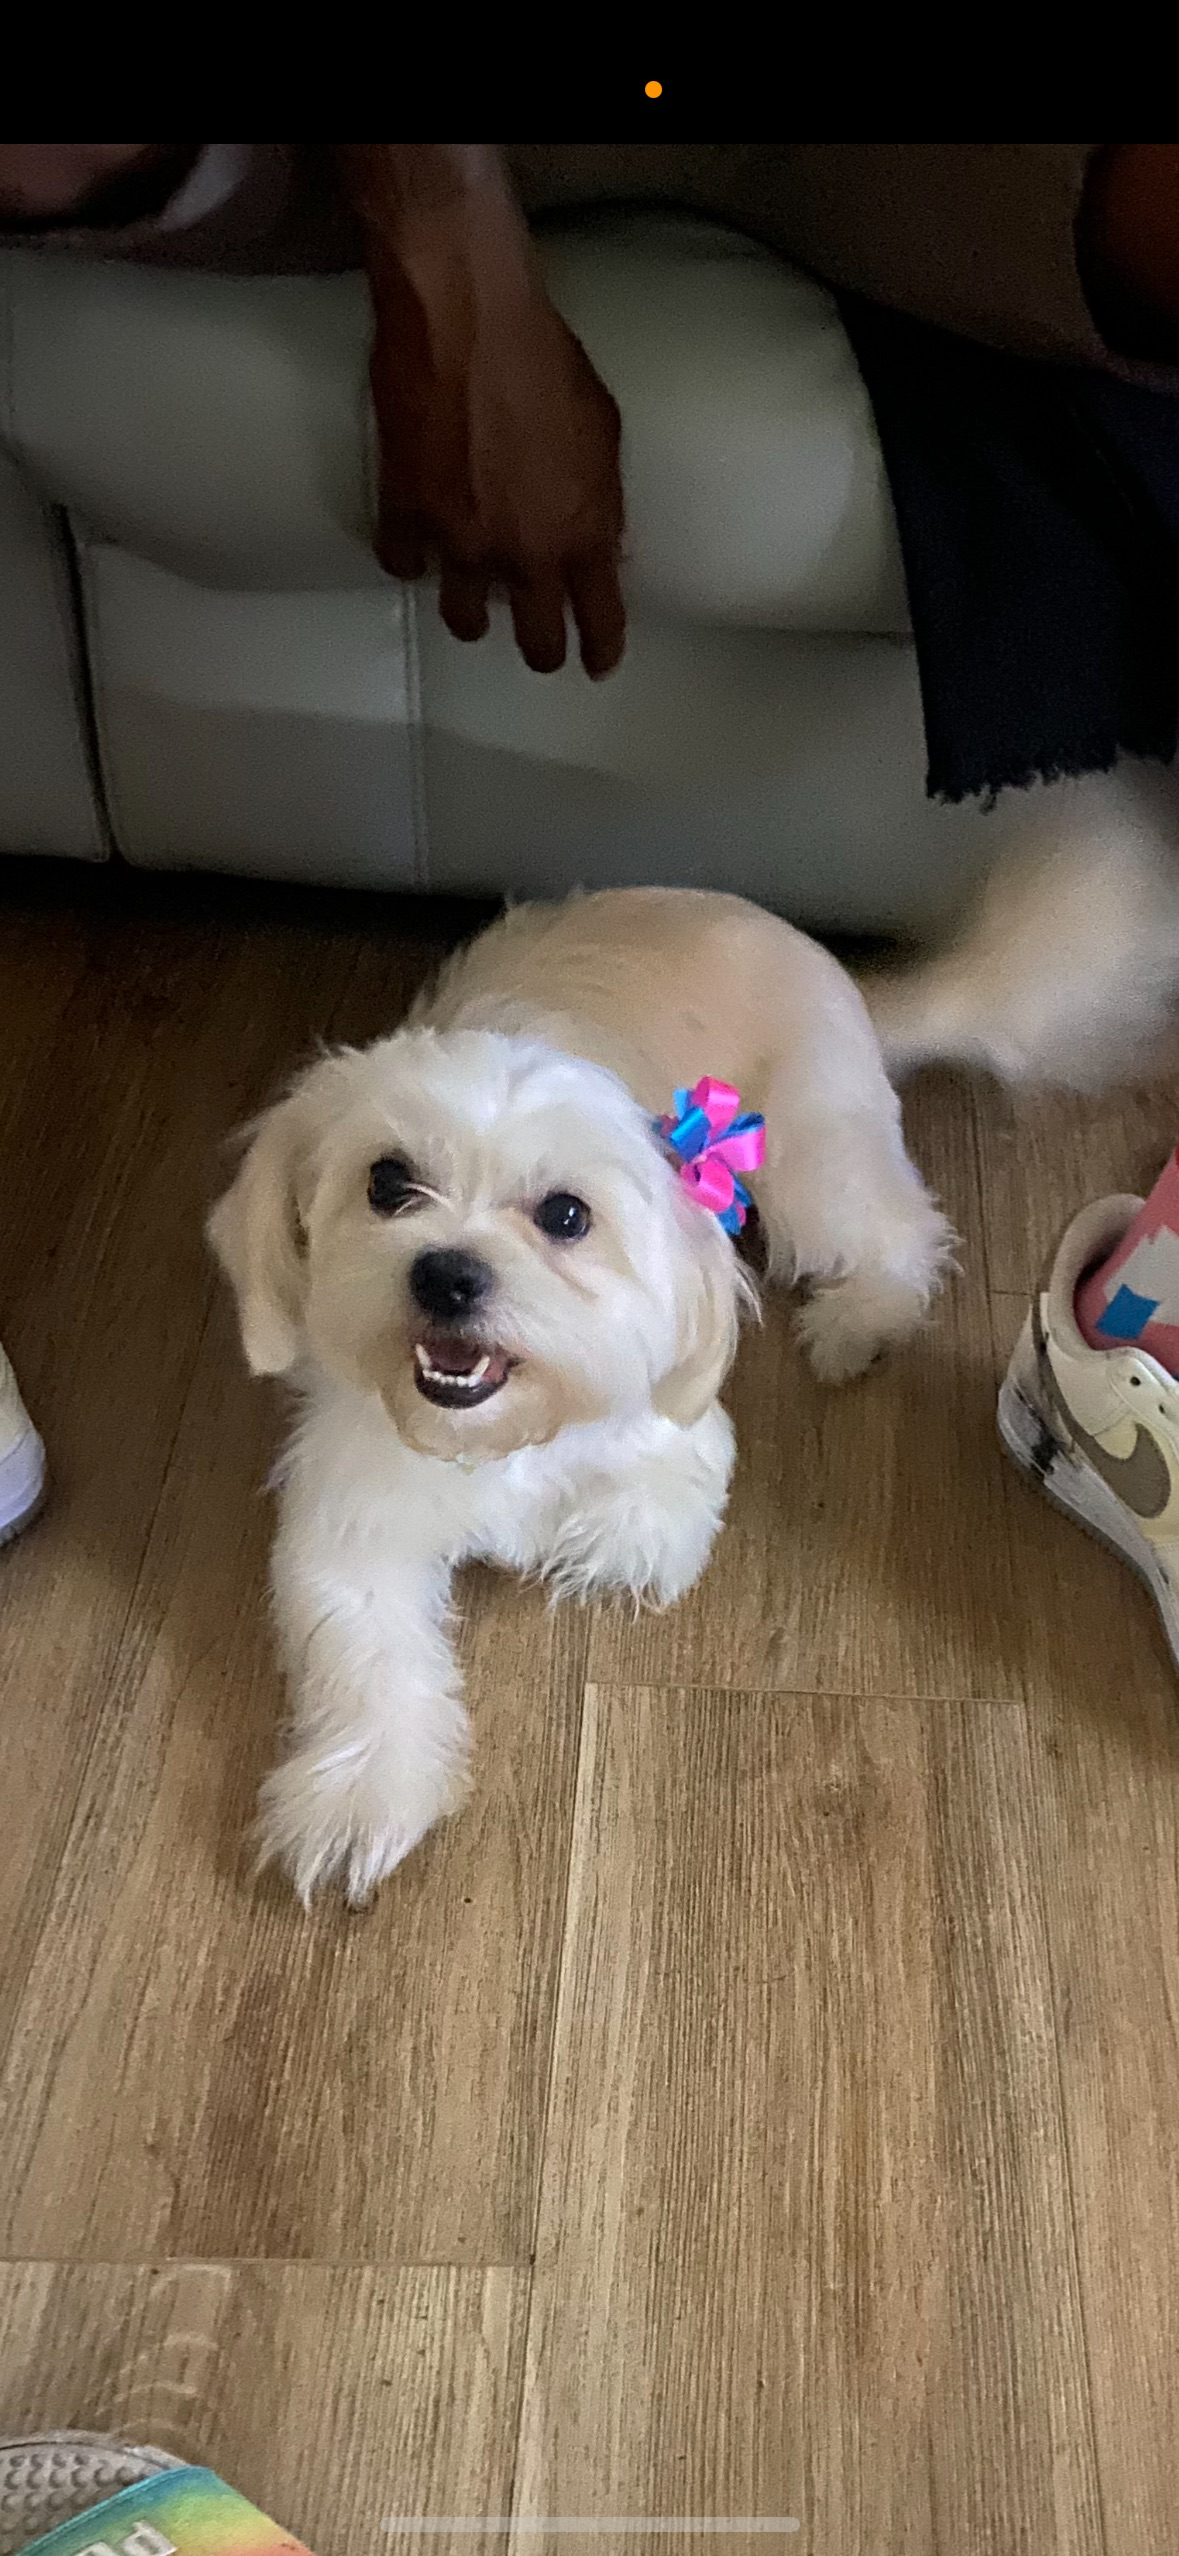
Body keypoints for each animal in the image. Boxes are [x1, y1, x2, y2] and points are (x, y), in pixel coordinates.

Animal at [209, 886, 954, 1904]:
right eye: (387, 1181)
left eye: (566, 1216)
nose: (447, 1275)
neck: (493, 1427)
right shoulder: (351, 1523)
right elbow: (363, 1660)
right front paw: (359, 1797)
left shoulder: (672, 1446)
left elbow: (631, 1522)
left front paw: (557, 1534)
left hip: (809, 1162)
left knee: (901, 1230)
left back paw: (859, 1320)